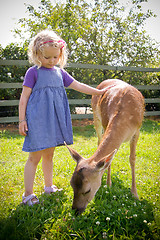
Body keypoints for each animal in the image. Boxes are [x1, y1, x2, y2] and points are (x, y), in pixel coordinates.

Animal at [65, 79, 144, 215]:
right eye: (71, 184)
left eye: (87, 190)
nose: (75, 210)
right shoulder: (106, 122)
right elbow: (109, 161)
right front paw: (108, 184)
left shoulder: (137, 131)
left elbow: (132, 159)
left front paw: (135, 194)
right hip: (96, 117)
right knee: (98, 140)